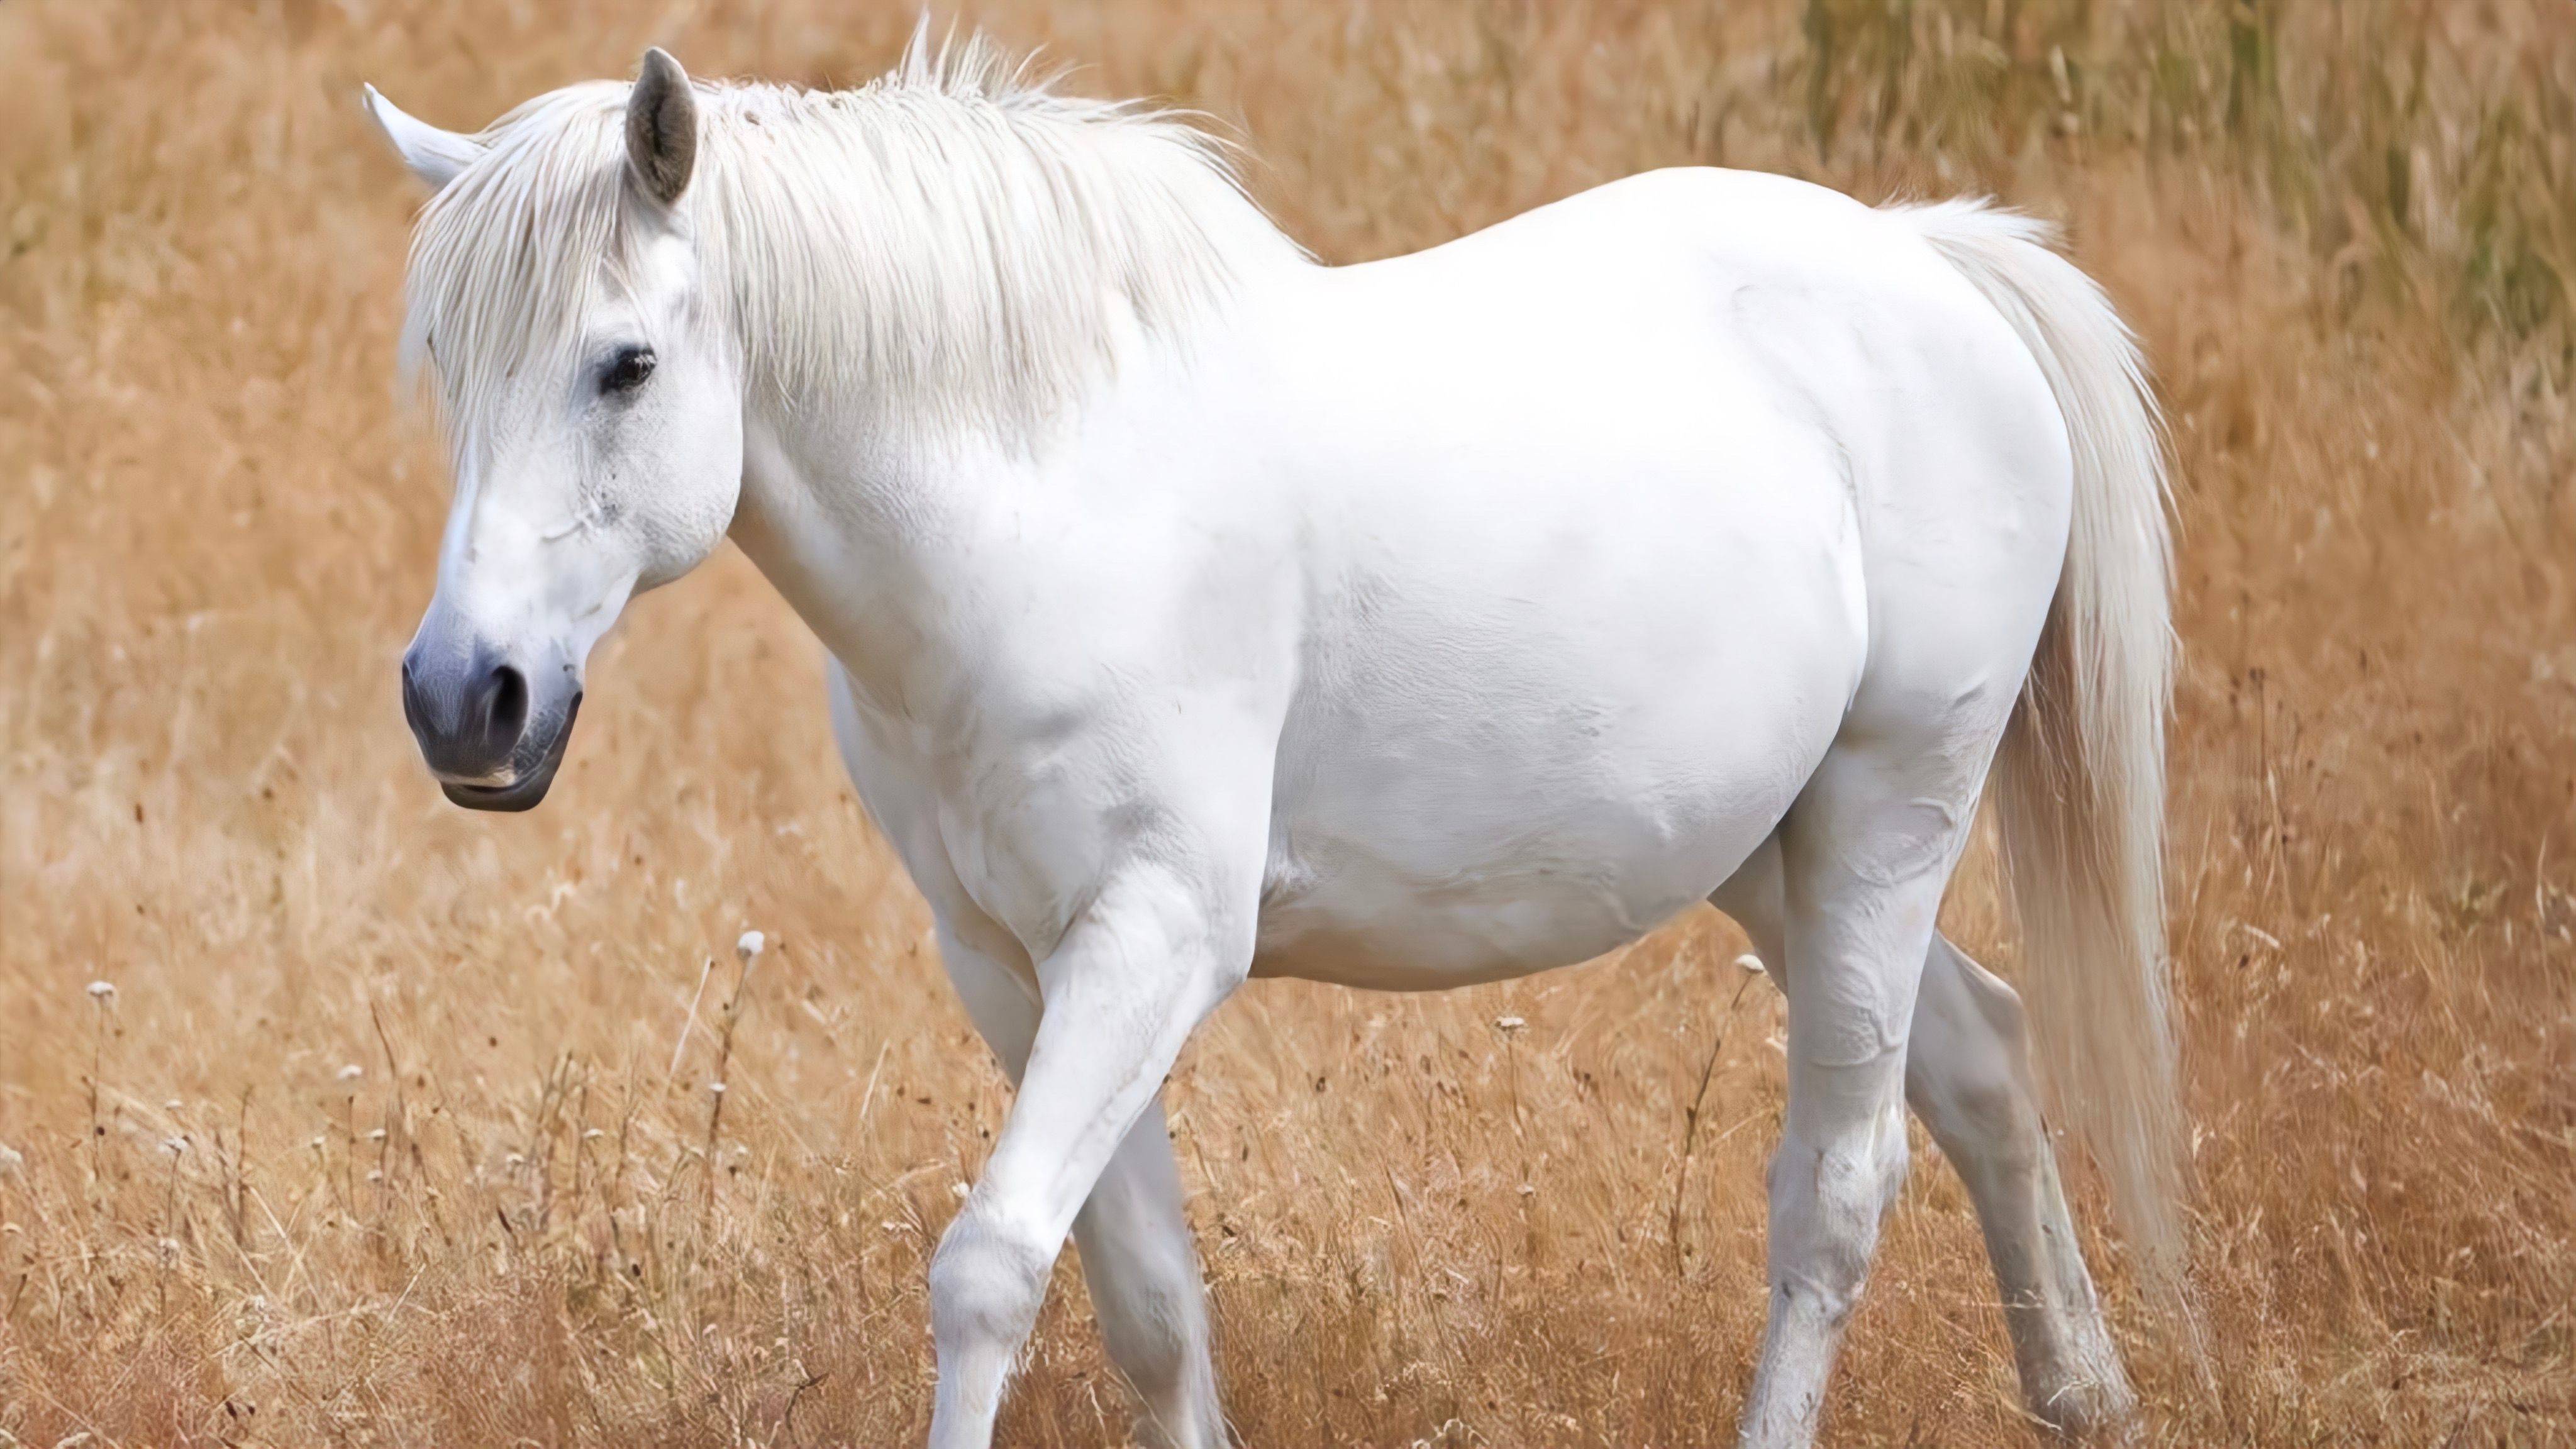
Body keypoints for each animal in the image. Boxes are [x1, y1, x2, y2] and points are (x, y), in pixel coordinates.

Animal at [363, 39, 2174, 1443]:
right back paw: (2086, 1399)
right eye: (447, 362)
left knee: (1837, 1193)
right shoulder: (1009, 963)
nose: (464, 699)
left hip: (1887, 815)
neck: (1050, 511)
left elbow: (991, 1265)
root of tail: (1932, 264)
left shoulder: (1157, 935)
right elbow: (1148, 1300)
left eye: (625, 365)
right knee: (1984, 1060)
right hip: (1772, 856)